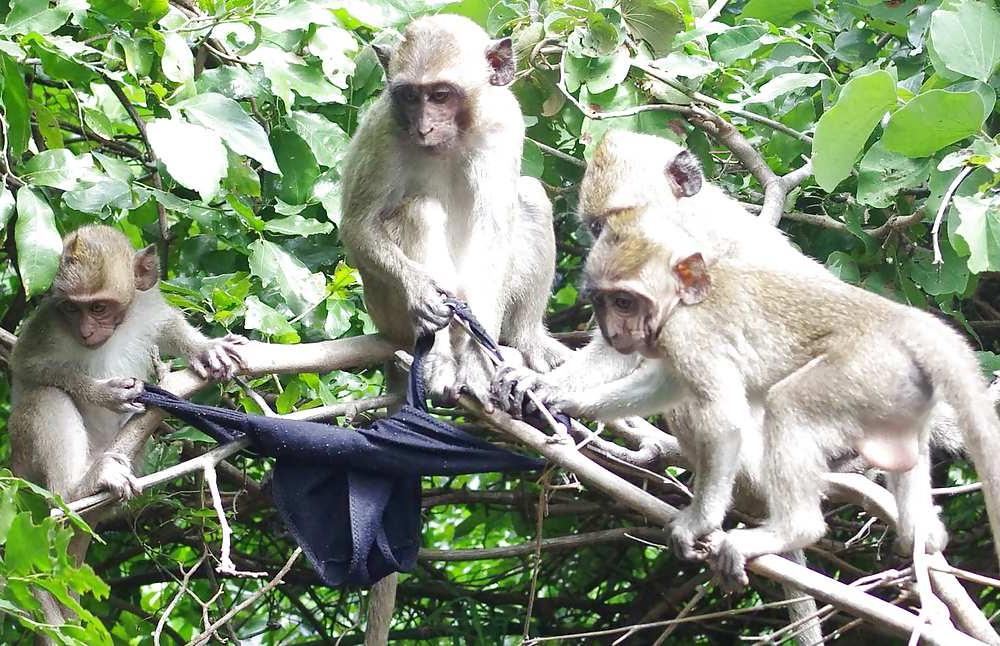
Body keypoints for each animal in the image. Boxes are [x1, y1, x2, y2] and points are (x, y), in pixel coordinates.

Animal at [339, 14, 568, 407]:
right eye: (411, 96)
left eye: (441, 95)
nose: (424, 126)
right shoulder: (383, 129)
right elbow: (358, 225)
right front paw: (420, 291)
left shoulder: (504, 124)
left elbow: (493, 233)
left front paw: (479, 362)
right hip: (386, 311)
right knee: (419, 209)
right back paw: (440, 357)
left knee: (530, 196)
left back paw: (524, 340)